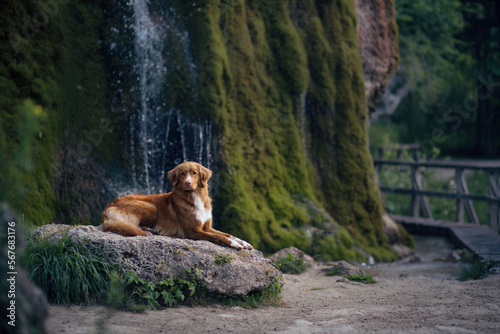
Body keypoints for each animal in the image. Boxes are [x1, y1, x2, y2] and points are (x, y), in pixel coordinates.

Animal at [100, 160, 254, 249]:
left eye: (194, 173)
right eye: (182, 174)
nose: (187, 183)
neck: (195, 197)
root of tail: (107, 207)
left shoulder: (207, 226)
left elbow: (228, 234)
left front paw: (243, 242)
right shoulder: (193, 231)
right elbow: (219, 237)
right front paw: (234, 244)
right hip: (150, 207)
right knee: (134, 225)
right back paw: (150, 230)